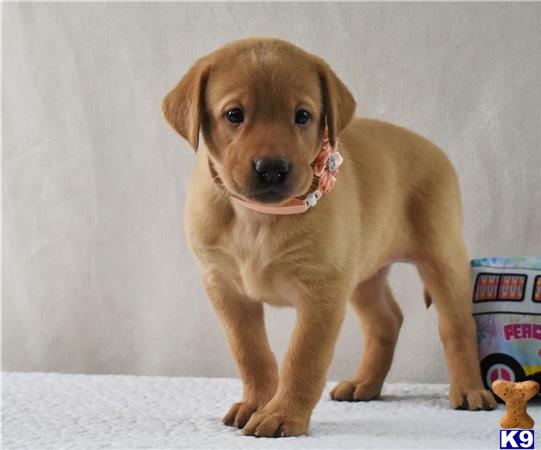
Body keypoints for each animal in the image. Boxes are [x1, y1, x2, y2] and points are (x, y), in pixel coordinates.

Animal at [160, 37, 494, 438]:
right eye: (234, 114)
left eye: (303, 116)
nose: (272, 169)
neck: (260, 217)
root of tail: (434, 149)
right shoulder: (225, 287)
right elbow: (250, 352)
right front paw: (257, 402)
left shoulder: (322, 289)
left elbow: (303, 358)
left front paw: (282, 414)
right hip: (363, 273)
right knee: (387, 320)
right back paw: (364, 384)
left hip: (442, 256)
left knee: (457, 325)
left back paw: (470, 389)